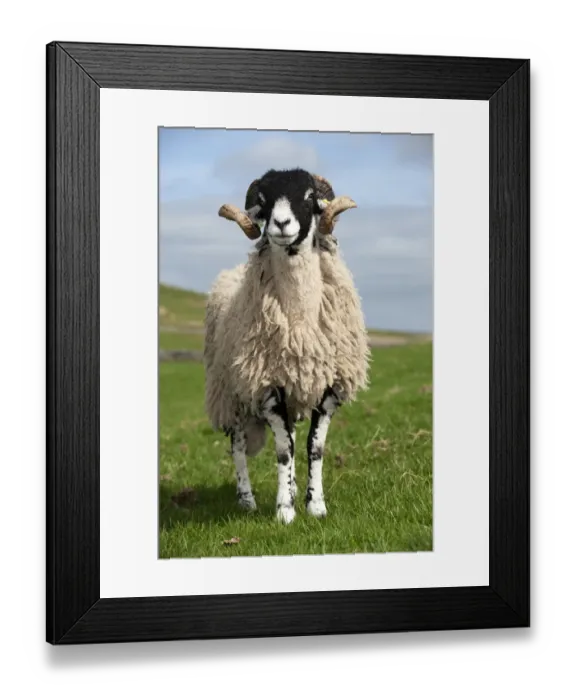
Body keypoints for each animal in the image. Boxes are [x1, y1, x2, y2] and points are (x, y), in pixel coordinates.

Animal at [204, 167, 371, 524]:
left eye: (309, 197)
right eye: (264, 200)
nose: (280, 224)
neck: (300, 321)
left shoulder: (329, 387)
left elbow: (313, 448)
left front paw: (315, 506)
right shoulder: (268, 385)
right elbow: (283, 451)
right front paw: (284, 511)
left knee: (291, 436)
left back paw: (291, 488)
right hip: (231, 392)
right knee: (238, 446)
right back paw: (247, 499)